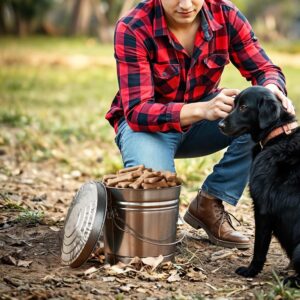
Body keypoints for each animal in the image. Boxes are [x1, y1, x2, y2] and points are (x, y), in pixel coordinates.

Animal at [218, 85, 300, 286]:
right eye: (234, 104)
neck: (278, 134)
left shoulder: (262, 210)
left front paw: (251, 271)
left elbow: (259, 247)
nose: (220, 125)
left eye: (244, 107)